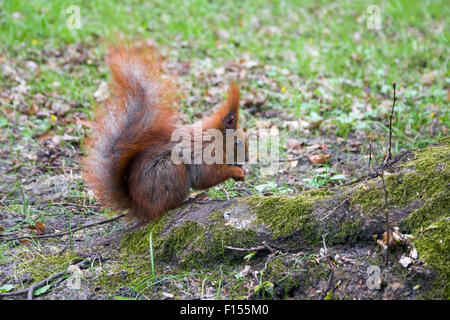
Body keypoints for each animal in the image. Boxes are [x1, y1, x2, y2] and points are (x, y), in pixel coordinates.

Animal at [82, 45, 248, 222]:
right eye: (237, 142)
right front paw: (236, 172)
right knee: (169, 205)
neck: (214, 140)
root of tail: (140, 206)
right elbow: (207, 177)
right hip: (171, 170)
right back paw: (192, 199)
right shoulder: (205, 155)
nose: (247, 159)